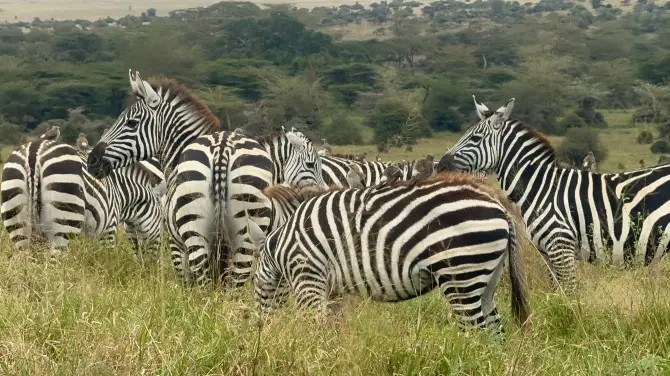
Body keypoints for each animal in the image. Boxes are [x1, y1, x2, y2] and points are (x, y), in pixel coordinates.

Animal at [0, 140, 165, 256]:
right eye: (161, 220)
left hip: (17, 220)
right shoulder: (107, 229)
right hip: (64, 220)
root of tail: (35, 150)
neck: (121, 193)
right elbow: (106, 258)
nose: (150, 266)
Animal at [85, 70, 326, 286]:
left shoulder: (176, 243)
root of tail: (222, 149)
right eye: (312, 165)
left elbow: (185, 283)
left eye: (131, 123)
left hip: (195, 232)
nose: (92, 160)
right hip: (245, 233)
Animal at [249, 173, 532, 334]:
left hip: (461, 274)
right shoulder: (334, 290)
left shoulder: (308, 277)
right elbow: (335, 329)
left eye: (257, 285)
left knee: (476, 332)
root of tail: (496, 202)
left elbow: (314, 328)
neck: (281, 242)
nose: (263, 330)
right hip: (487, 278)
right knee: (494, 334)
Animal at [440, 95, 670, 290]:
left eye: (476, 138)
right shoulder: (547, 253)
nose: (441, 165)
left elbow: (570, 292)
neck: (541, 187)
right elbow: (557, 294)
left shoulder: (561, 247)